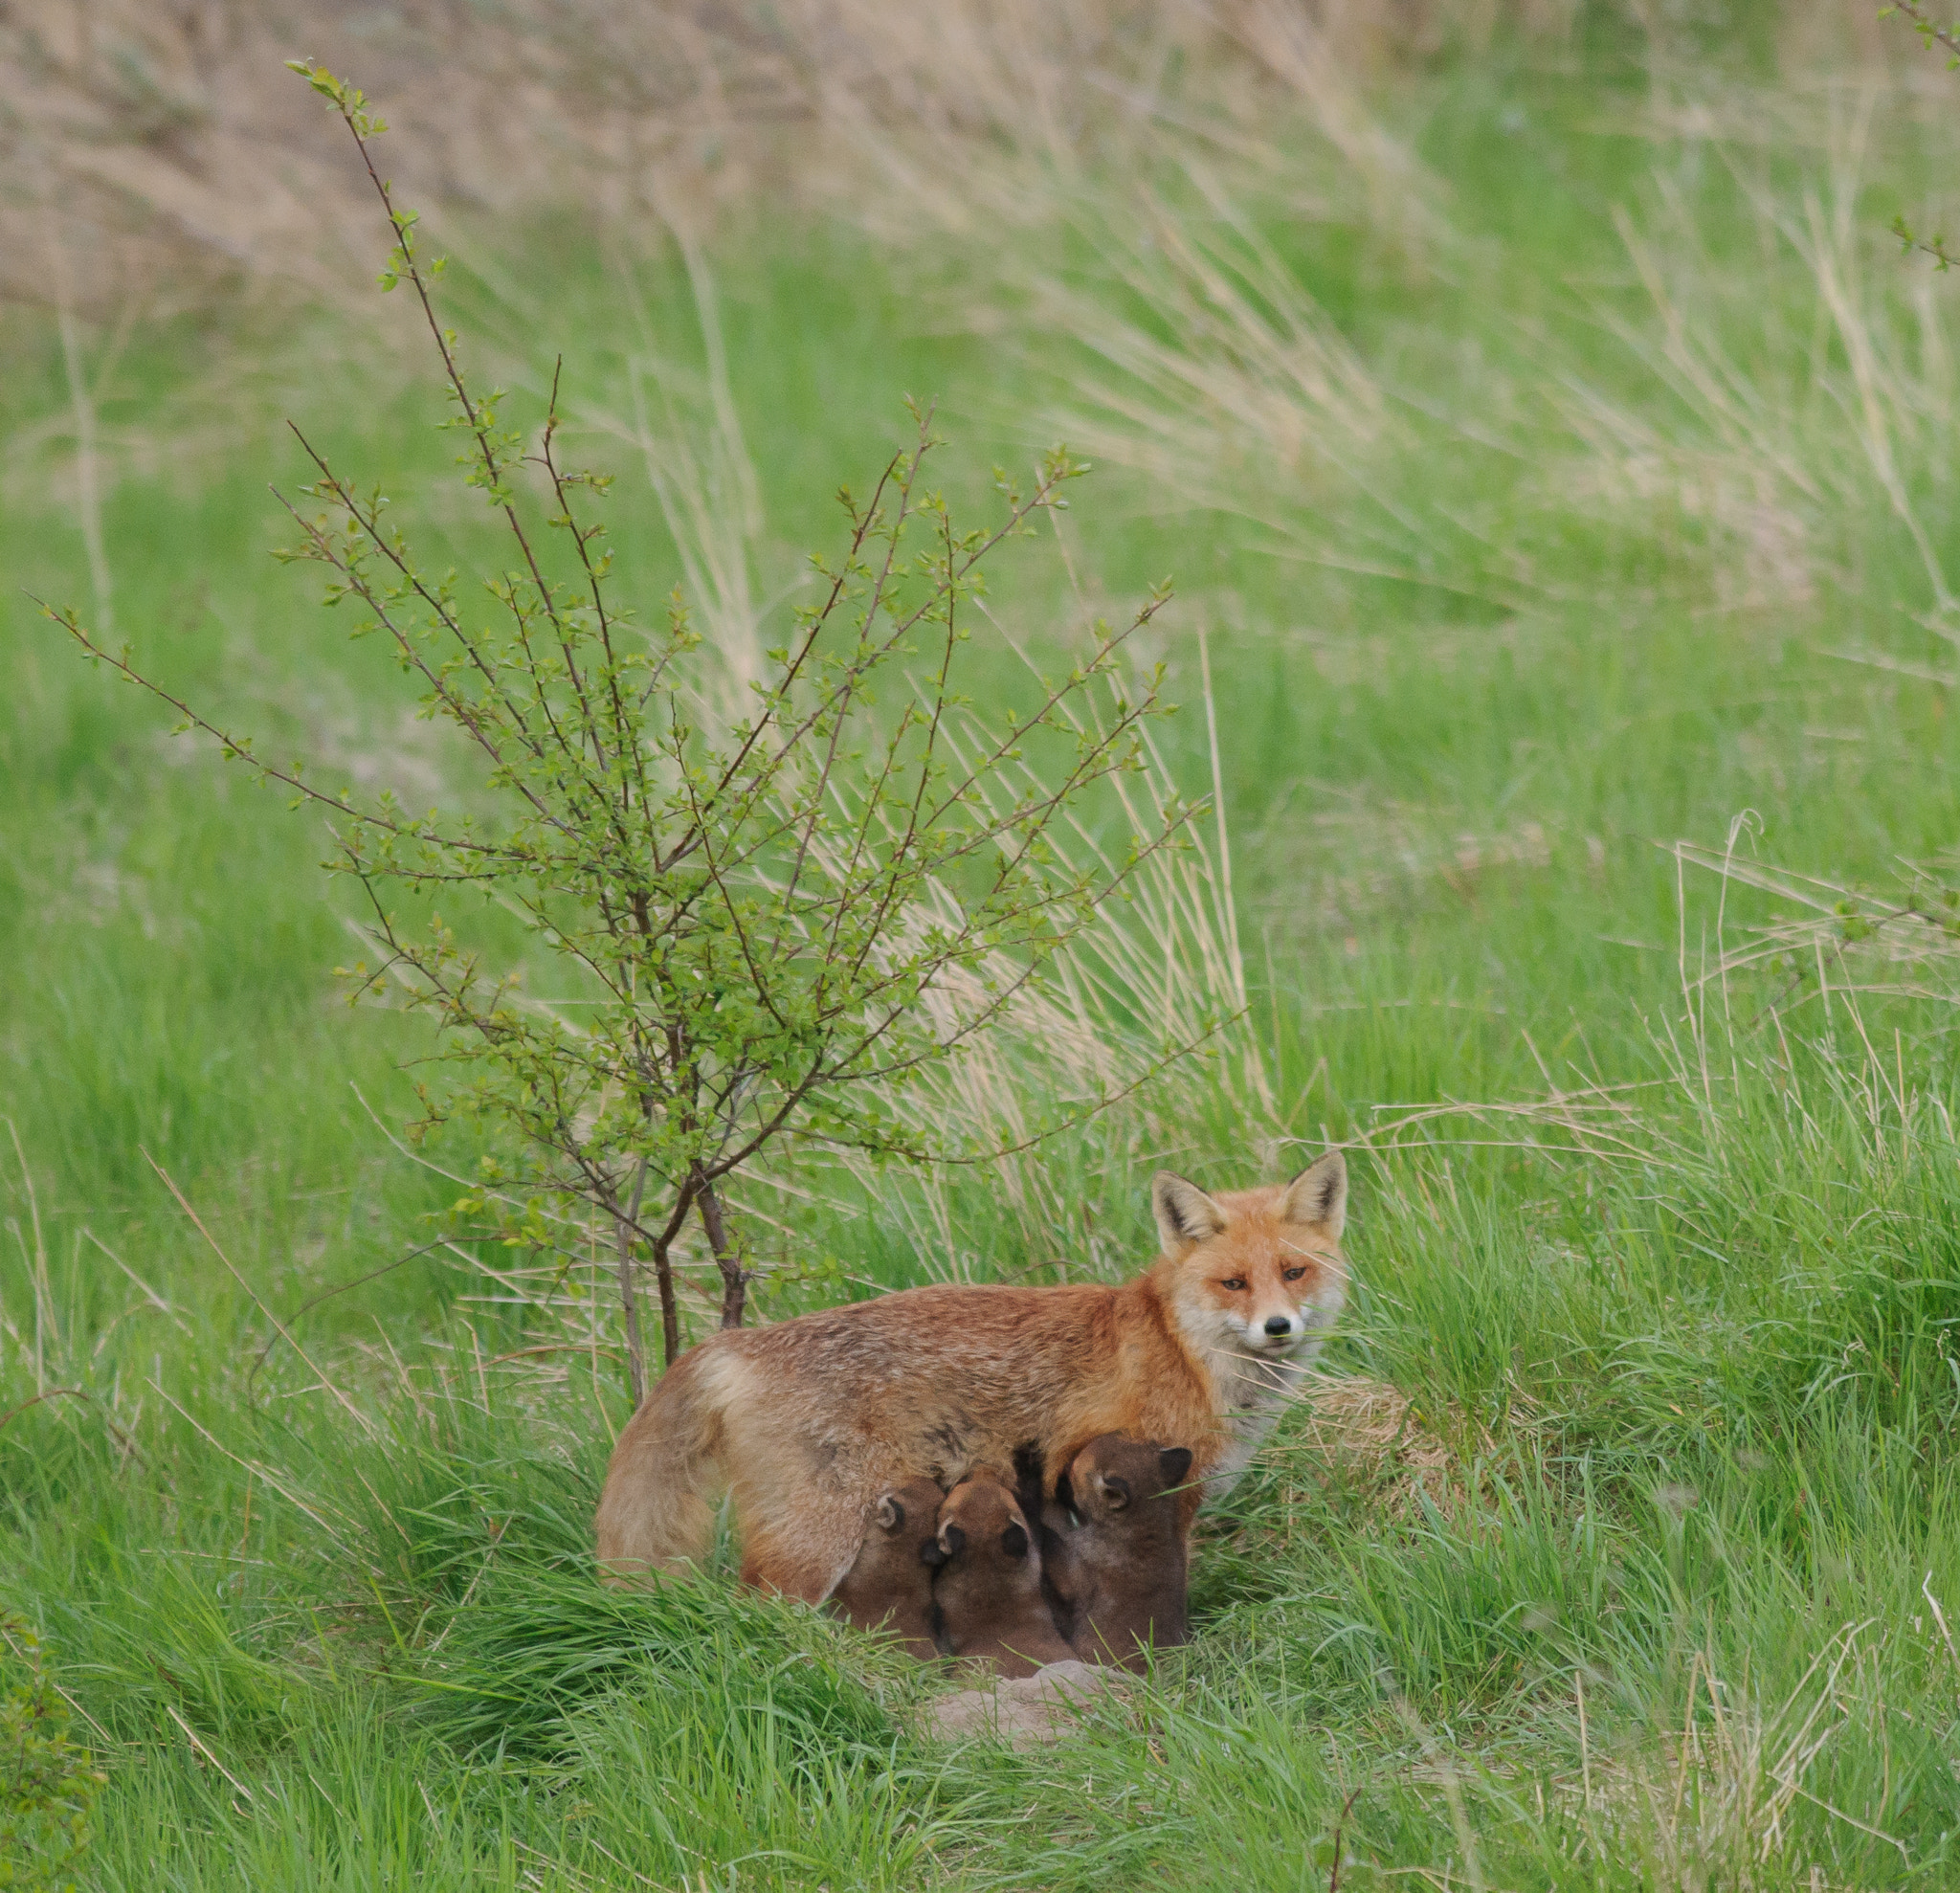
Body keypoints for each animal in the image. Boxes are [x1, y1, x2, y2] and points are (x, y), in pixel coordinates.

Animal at [594, 1151, 1348, 1602]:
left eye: (1293, 1272)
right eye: (1233, 1283)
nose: (1278, 1327)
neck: (1188, 1354)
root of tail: (739, 1341)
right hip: (820, 1537)